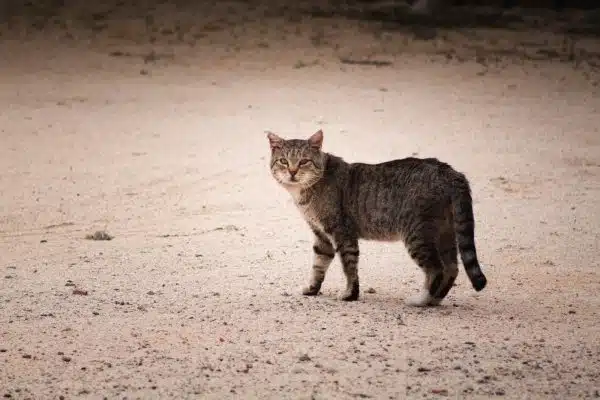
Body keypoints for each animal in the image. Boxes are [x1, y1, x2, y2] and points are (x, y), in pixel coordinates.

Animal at [268, 128, 488, 306]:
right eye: (283, 161)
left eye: (304, 161)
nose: (292, 172)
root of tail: (451, 172)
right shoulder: (322, 236)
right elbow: (318, 265)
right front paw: (313, 289)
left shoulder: (342, 233)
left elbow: (349, 267)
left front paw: (350, 294)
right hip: (445, 233)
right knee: (452, 269)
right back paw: (434, 300)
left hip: (417, 236)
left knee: (437, 269)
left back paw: (422, 300)